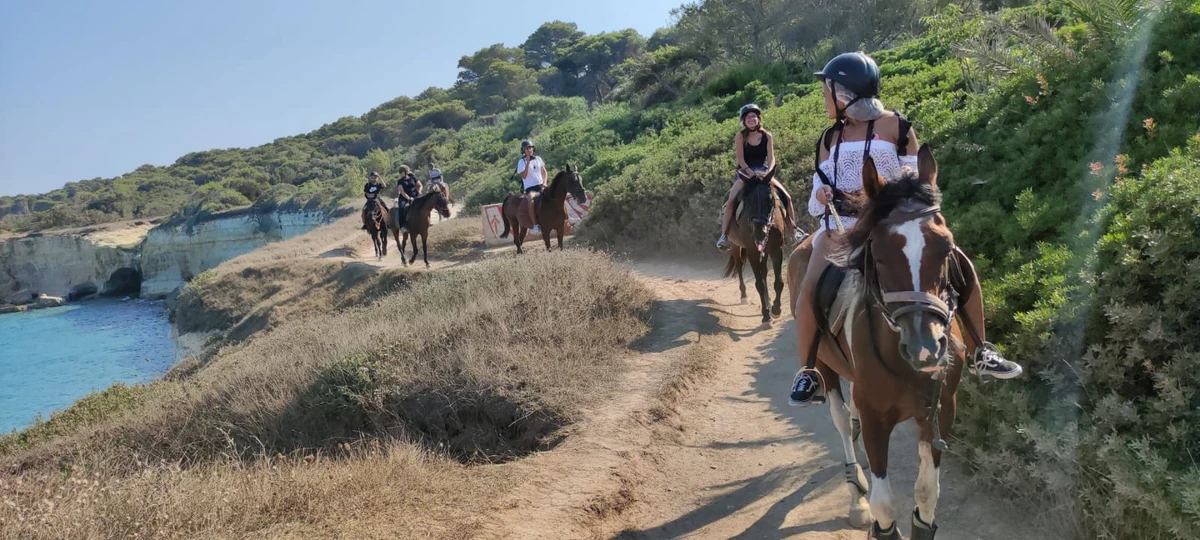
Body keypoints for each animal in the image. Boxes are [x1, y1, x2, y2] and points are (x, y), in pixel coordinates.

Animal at [720, 169, 787, 321]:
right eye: (749, 202)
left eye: (771, 200)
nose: (760, 234)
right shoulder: (752, 252)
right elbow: (759, 284)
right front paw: (765, 314)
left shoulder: (776, 249)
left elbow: (778, 282)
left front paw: (775, 309)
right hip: (735, 245)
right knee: (739, 266)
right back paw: (744, 296)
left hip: (764, 250)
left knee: (764, 271)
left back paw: (768, 300)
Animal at [787, 144, 974, 540]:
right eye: (880, 253)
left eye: (946, 246)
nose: (925, 346)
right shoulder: (876, 419)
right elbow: (884, 505)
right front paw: (870, 512)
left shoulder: (940, 410)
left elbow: (927, 494)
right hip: (824, 366)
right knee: (843, 421)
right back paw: (855, 497)